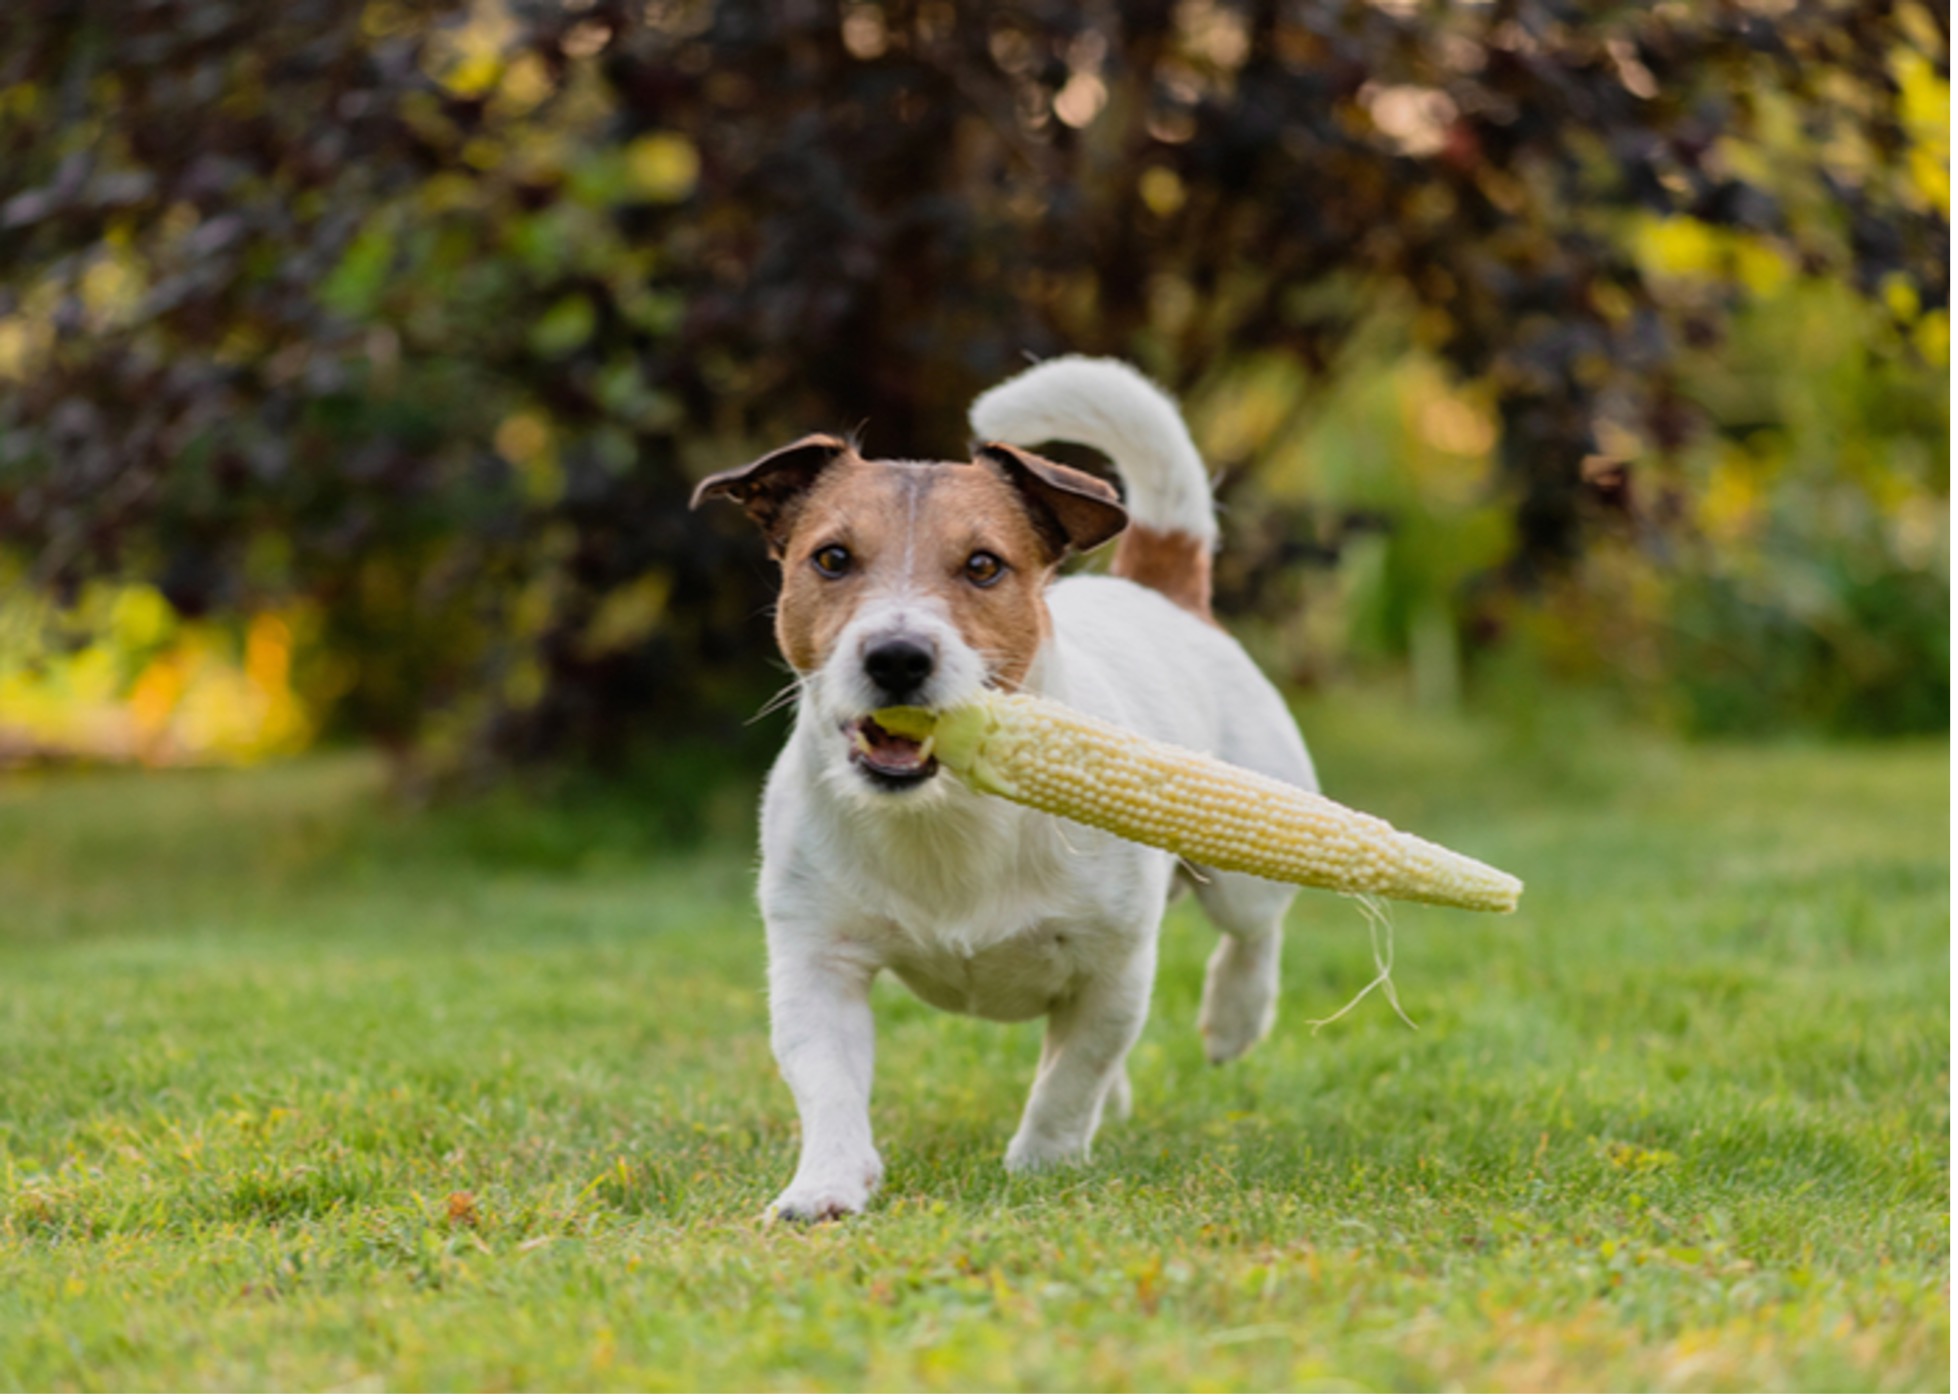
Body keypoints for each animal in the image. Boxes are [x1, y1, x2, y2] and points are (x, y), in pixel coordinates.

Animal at [689, 356, 1315, 1221]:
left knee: (1256, 930)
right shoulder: (817, 960)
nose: (897, 657)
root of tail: (1161, 591)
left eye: (984, 565)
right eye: (832, 559)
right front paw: (826, 1185)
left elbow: (1069, 1079)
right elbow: (827, 1081)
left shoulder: (1112, 967)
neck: (949, 814)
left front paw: (1043, 1166)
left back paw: (1234, 1017)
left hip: (1247, 853)